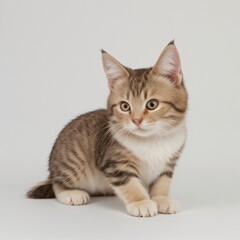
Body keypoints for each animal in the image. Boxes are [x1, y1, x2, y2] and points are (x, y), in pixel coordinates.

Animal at [26, 41, 188, 218]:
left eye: (152, 104)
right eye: (125, 106)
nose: (136, 120)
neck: (152, 139)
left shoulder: (168, 164)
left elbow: (162, 183)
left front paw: (161, 199)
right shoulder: (115, 163)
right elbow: (130, 185)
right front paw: (141, 202)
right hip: (72, 163)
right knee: (58, 184)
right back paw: (70, 193)